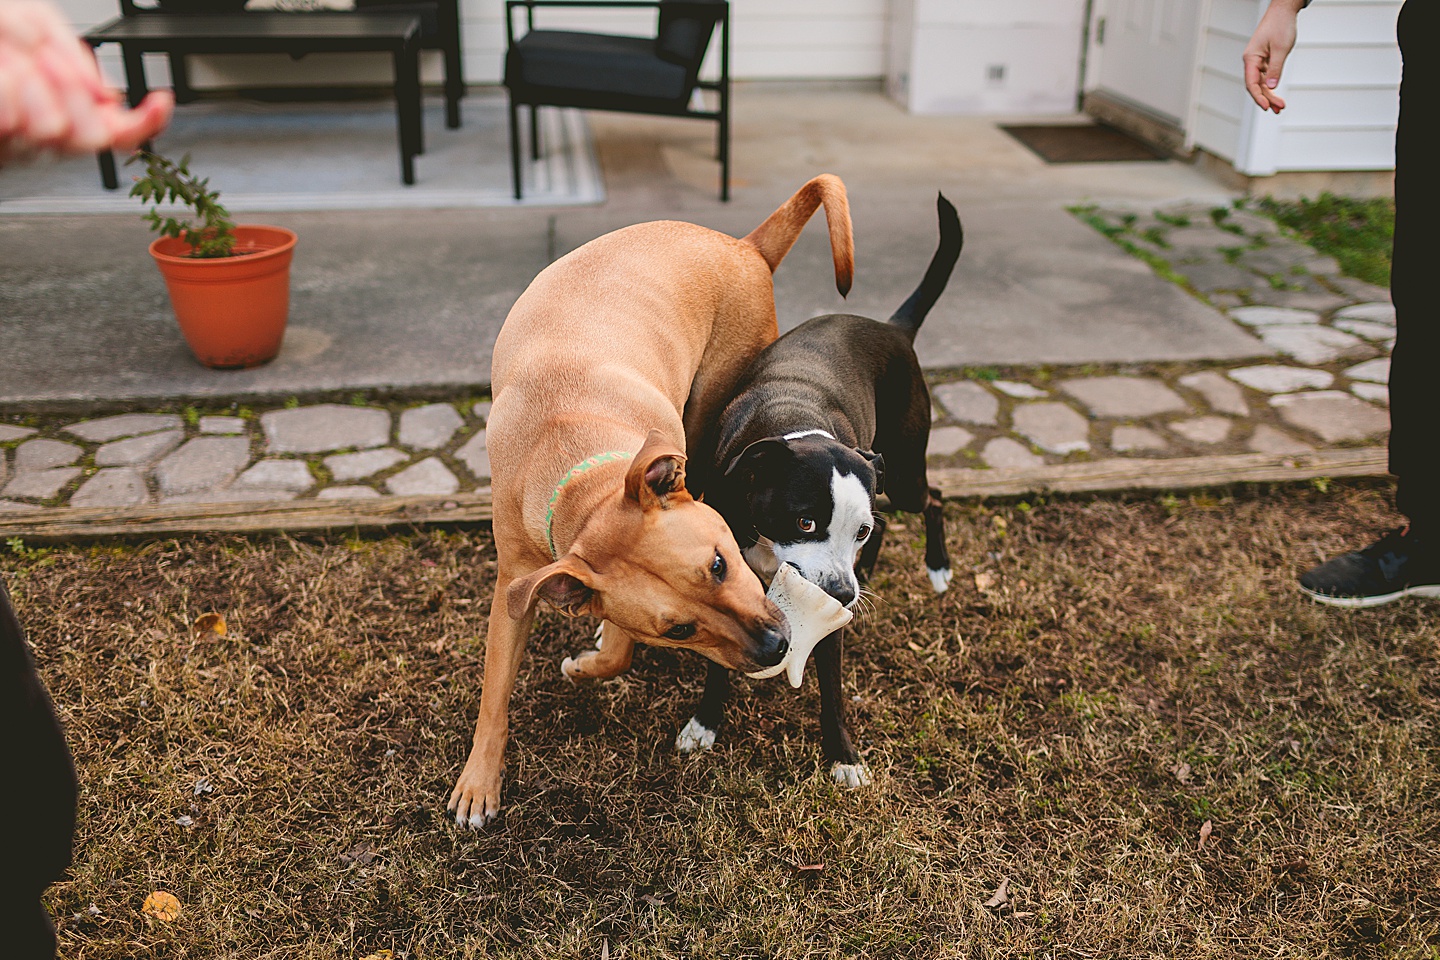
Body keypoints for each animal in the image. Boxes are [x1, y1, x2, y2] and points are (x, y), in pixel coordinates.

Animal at [449, 174, 852, 829]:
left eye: (719, 563)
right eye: (680, 629)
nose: (777, 646)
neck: (575, 460)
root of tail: (743, 246)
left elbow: (616, 647)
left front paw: (590, 660)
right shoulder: (517, 586)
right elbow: (497, 694)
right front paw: (479, 780)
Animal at [679, 191, 961, 782]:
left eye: (854, 531)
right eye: (804, 521)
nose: (845, 593)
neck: (794, 422)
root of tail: (894, 328)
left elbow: (832, 684)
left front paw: (843, 756)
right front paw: (705, 724)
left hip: (903, 472)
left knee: (932, 498)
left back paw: (935, 567)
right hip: (889, 475)